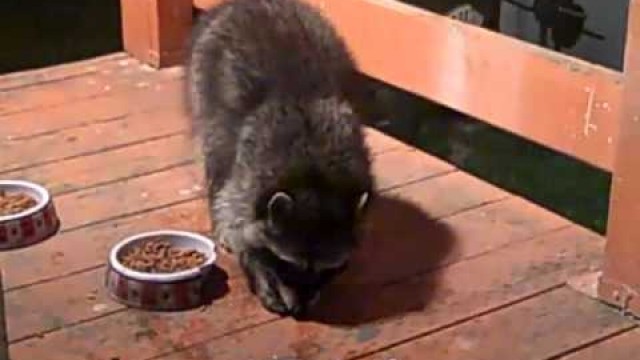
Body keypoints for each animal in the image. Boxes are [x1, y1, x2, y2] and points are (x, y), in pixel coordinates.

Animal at [185, 0, 376, 316]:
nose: (301, 311)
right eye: (289, 265)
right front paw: (257, 268)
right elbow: (236, 219)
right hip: (204, 82)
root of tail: (244, 4)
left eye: (327, 270)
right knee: (217, 152)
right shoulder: (249, 176)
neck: (316, 181)